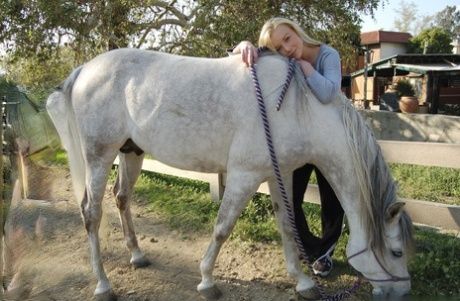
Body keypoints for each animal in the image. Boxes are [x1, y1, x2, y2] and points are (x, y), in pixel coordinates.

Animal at [45, 48, 414, 298]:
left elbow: (287, 226)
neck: (298, 108)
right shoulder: (243, 175)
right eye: (396, 252)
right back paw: (103, 284)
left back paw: (137, 255)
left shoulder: (278, 175)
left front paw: (303, 281)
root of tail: (85, 69)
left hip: (130, 153)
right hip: (99, 156)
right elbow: (223, 228)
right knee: (91, 213)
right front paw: (207, 280)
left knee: (121, 198)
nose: (403, 292)